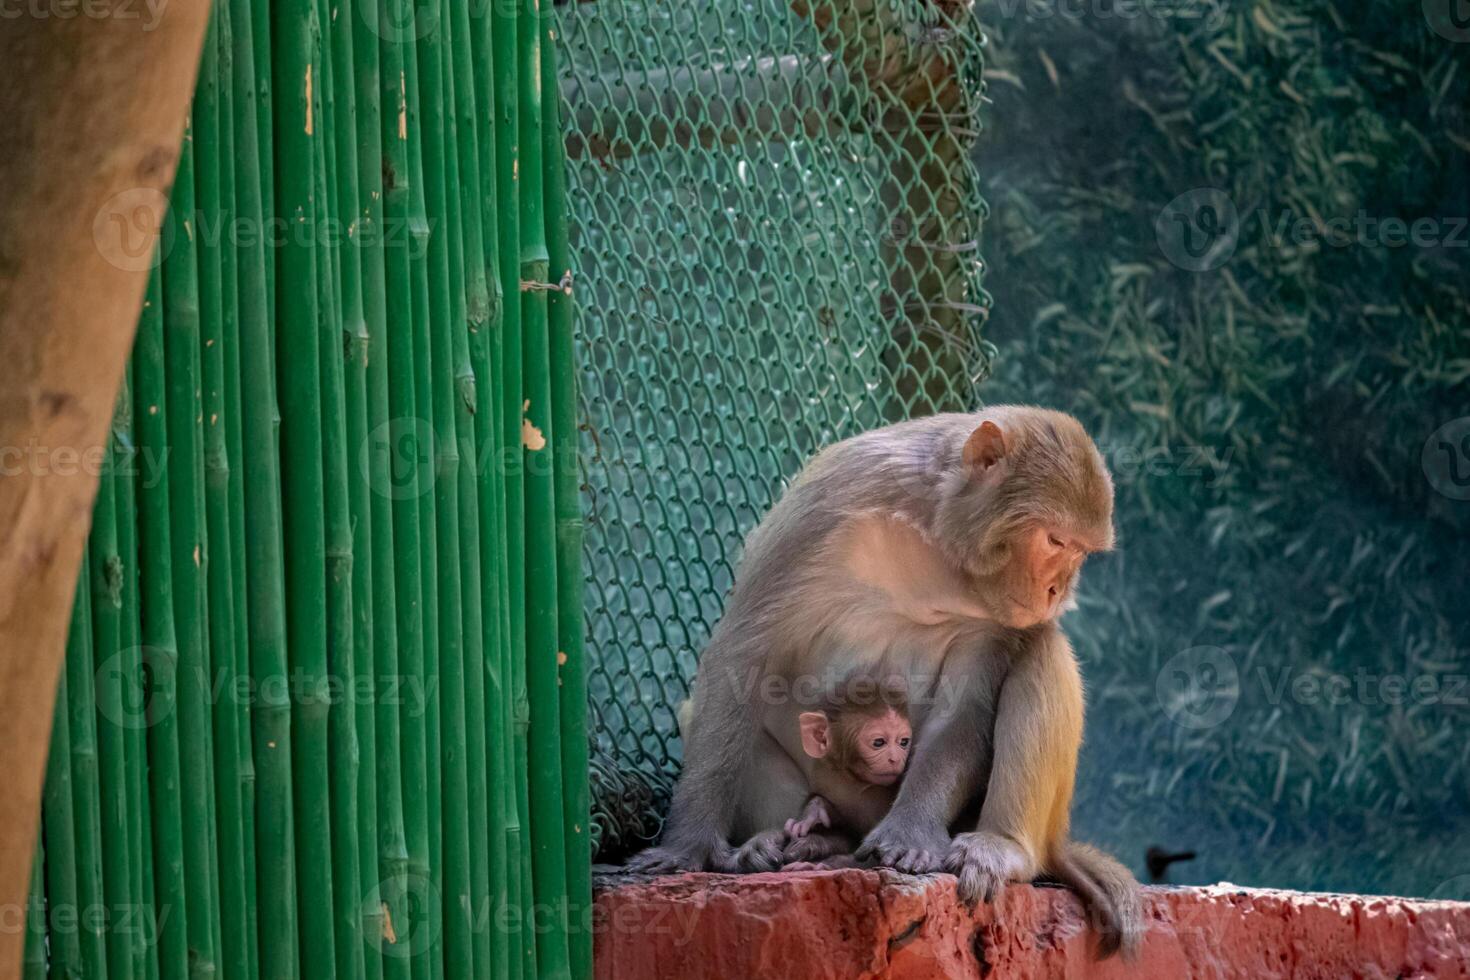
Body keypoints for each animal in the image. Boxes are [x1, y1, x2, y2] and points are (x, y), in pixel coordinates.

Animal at [632, 405, 1146, 957]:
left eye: (1080, 551)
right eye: (1054, 541)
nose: (1058, 589)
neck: (938, 543)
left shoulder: (992, 616)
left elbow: (963, 709)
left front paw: (910, 834)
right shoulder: (829, 505)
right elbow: (742, 656)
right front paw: (689, 845)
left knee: (1041, 650)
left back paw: (1002, 847)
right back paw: (802, 842)